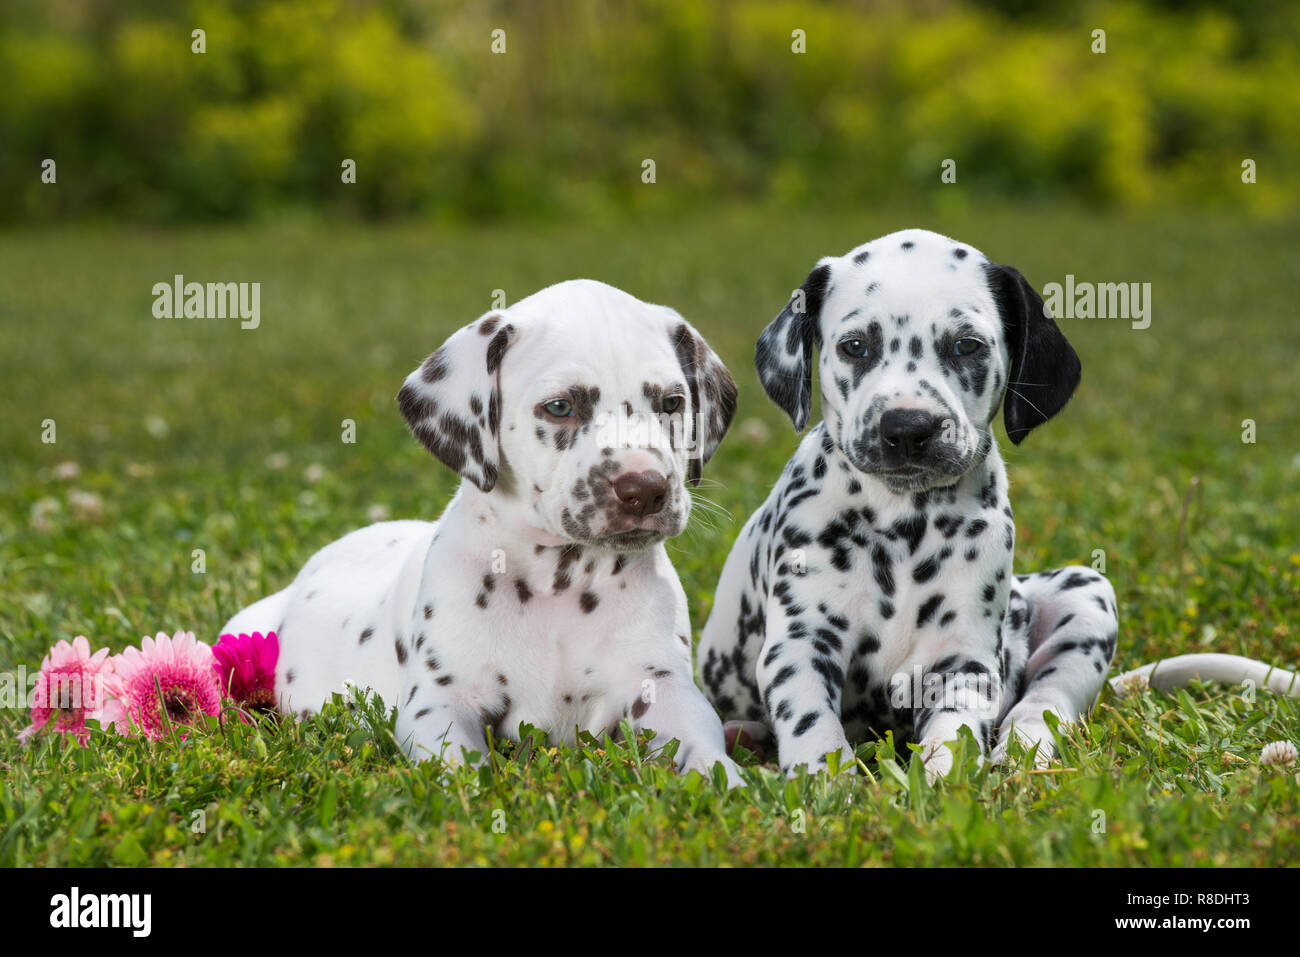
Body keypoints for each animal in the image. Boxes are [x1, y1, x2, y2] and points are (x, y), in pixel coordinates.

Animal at [226, 276, 743, 785]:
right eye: (560, 407)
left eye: (672, 403)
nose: (646, 489)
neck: (560, 583)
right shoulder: (441, 703)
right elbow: (459, 769)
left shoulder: (663, 685)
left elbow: (703, 742)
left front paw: (726, 776)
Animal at [696, 230, 1123, 780]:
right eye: (855, 346)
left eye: (967, 345)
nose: (907, 427)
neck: (906, 524)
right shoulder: (801, 642)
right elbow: (813, 723)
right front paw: (826, 782)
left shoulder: (964, 661)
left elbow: (955, 730)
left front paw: (943, 780)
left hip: (1086, 595)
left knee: (1046, 700)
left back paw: (1025, 749)